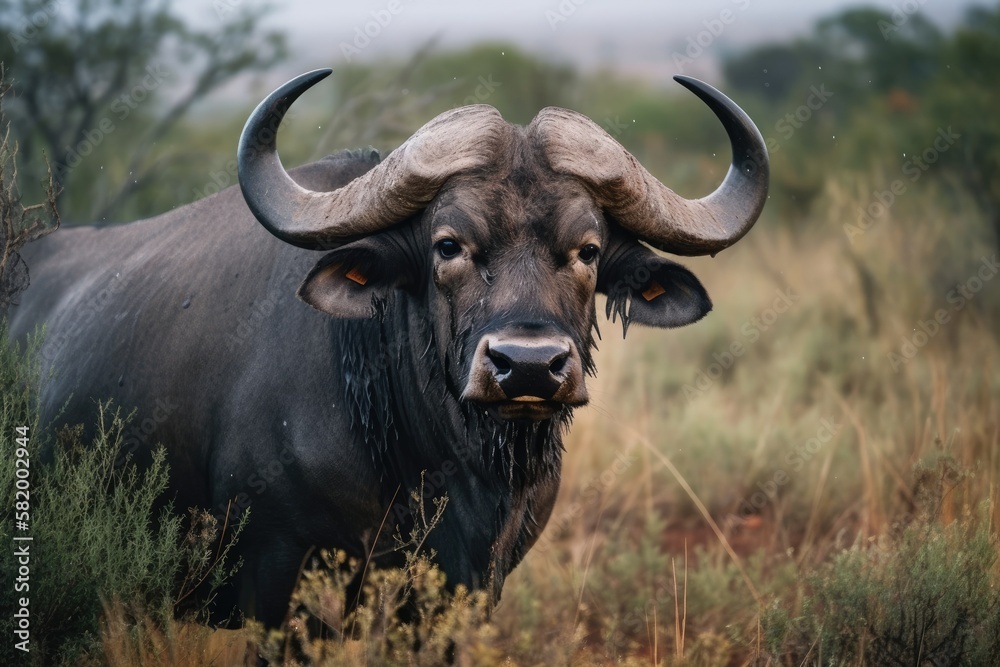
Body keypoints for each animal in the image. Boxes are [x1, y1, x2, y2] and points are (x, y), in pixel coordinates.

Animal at [7, 70, 768, 628]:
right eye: (448, 245)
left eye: (587, 250)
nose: (527, 367)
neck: (438, 467)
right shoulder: (273, 572)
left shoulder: (472, 588)